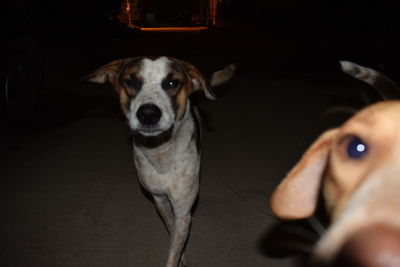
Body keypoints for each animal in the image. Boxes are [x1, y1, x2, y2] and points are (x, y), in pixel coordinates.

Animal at [86, 57, 233, 267]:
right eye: (132, 82)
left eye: (172, 82)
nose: (148, 114)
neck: (161, 152)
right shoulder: (160, 200)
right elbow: (172, 232)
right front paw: (181, 253)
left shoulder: (183, 209)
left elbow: (175, 247)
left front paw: (178, 254)